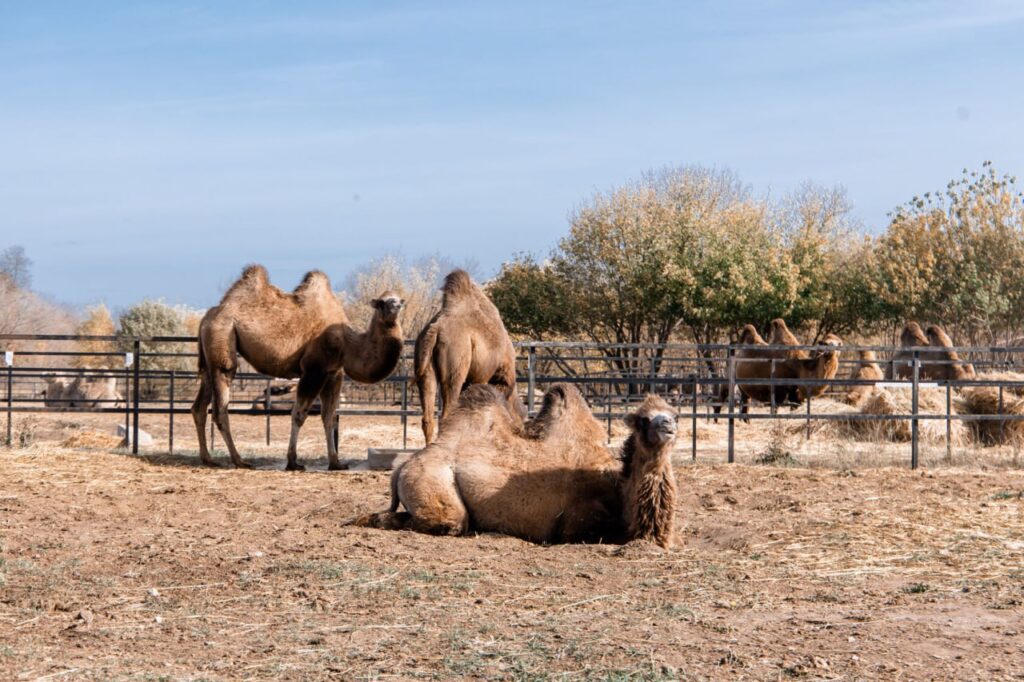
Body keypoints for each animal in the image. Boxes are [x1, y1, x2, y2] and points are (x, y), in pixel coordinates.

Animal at [192, 262, 403, 471]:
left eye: (399, 300)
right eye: (382, 302)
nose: (396, 307)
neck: (348, 344)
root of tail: (206, 318)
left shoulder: (334, 373)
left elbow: (329, 417)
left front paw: (336, 463)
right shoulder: (314, 369)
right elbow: (299, 414)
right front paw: (293, 462)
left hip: (210, 358)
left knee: (199, 407)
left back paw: (208, 459)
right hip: (223, 339)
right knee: (221, 404)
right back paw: (239, 461)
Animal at [352, 382, 679, 548]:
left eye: (673, 413)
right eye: (643, 420)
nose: (669, 426)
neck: (619, 490)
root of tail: (402, 467)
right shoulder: (577, 523)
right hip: (435, 487)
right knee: (445, 521)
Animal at [413, 268, 524, 444]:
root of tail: (435, 330)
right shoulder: (496, 376)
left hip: (424, 364)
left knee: (428, 417)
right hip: (456, 365)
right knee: (446, 412)